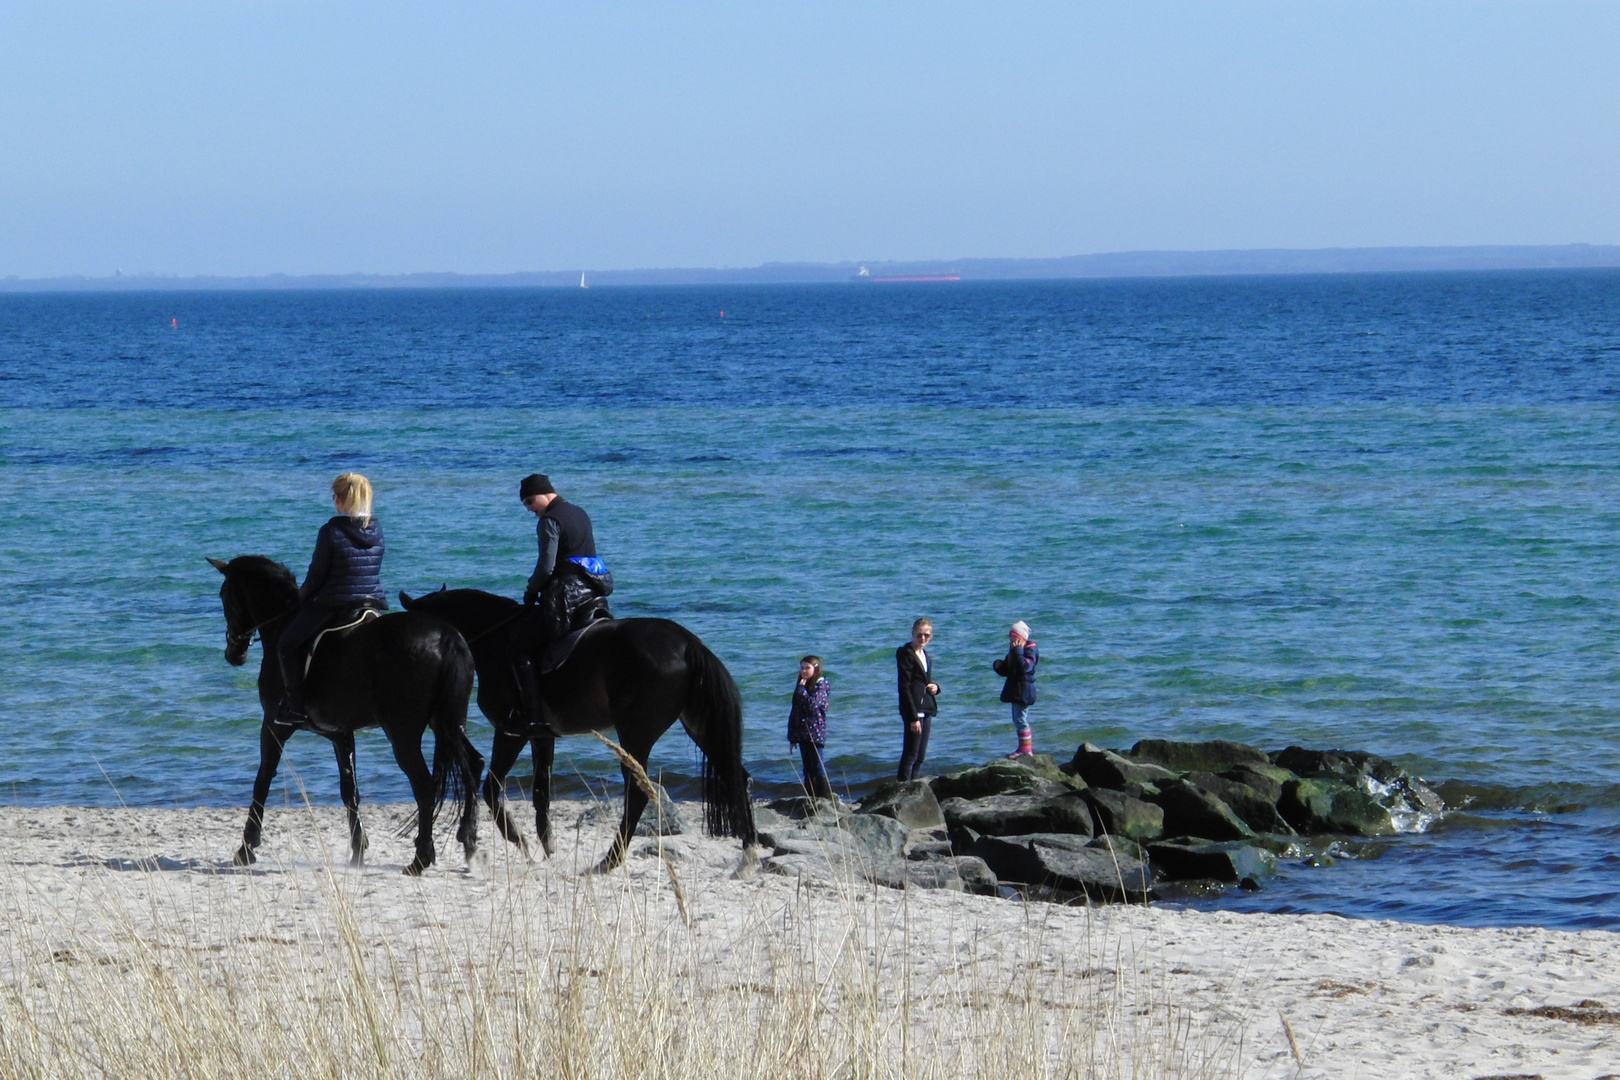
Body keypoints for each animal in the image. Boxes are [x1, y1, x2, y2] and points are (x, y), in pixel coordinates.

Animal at [205, 553, 479, 874]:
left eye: (224, 596)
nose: (233, 653)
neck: (284, 622)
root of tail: (447, 637)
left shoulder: (273, 725)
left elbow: (263, 780)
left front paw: (246, 848)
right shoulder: (340, 733)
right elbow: (350, 790)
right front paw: (358, 852)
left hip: (403, 733)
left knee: (424, 785)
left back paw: (421, 858)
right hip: (448, 723)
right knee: (473, 765)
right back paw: (470, 841)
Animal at [395, 586, 754, 874]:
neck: (496, 637)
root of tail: (687, 644)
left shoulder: (512, 732)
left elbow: (492, 788)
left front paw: (519, 841)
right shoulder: (541, 736)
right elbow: (541, 792)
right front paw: (546, 845)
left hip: (636, 732)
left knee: (638, 792)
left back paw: (610, 860)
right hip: (698, 726)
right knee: (737, 776)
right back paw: (748, 854)